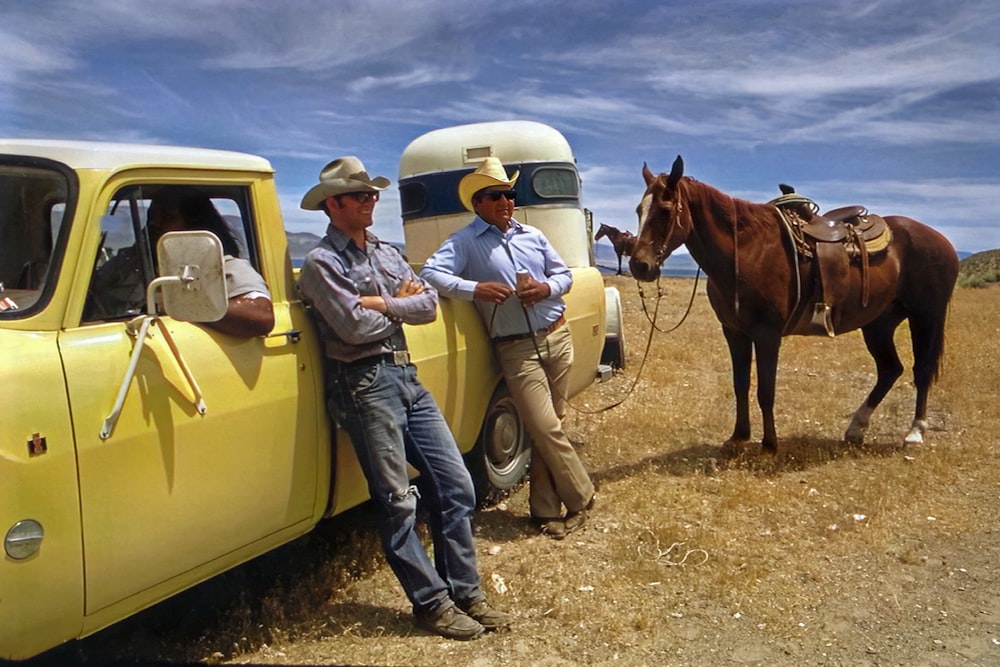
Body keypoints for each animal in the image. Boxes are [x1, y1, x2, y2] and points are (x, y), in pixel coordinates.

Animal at [632, 155, 960, 454]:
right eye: (639, 210)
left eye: (664, 210)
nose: (639, 265)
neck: (745, 252)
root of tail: (942, 241)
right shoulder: (734, 332)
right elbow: (740, 385)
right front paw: (738, 437)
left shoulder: (767, 334)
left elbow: (766, 390)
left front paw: (769, 445)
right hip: (879, 323)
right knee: (890, 369)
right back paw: (856, 428)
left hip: (926, 315)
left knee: (922, 369)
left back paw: (915, 431)